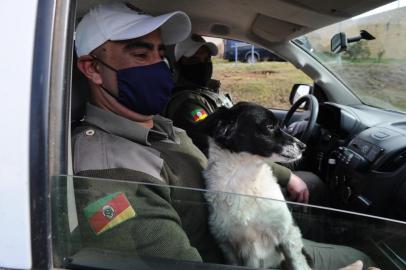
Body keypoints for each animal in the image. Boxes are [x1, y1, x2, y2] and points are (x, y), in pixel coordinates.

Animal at [195, 102, 312, 270]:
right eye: (269, 126)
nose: (304, 146)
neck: (246, 178)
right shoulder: (227, 246)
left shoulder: (288, 233)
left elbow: (297, 263)